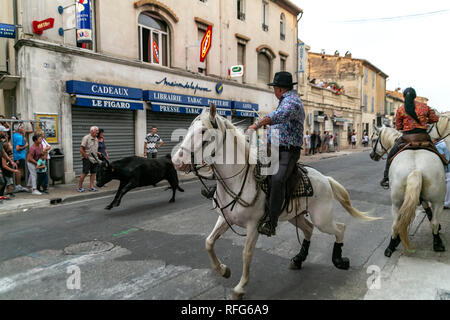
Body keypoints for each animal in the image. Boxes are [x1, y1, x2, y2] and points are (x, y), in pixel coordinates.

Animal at [172, 105, 380, 300]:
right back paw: (299, 259)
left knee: (340, 228)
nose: (176, 161)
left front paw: (240, 288)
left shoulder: (253, 226)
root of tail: (326, 180)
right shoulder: (225, 219)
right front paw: (223, 270)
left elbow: (246, 254)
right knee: (308, 229)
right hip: (295, 216)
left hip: (323, 219)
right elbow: (209, 242)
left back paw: (339, 260)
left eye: (202, 131)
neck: (239, 179)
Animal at [370, 126, 446, 256]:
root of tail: (416, 170)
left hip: (396, 203)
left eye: (374, 139)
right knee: (435, 222)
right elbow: (427, 209)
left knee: (396, 224)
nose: (371, 155)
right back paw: (437, 243)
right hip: (438, 201)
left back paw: (391, 246)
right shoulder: (421, 197)